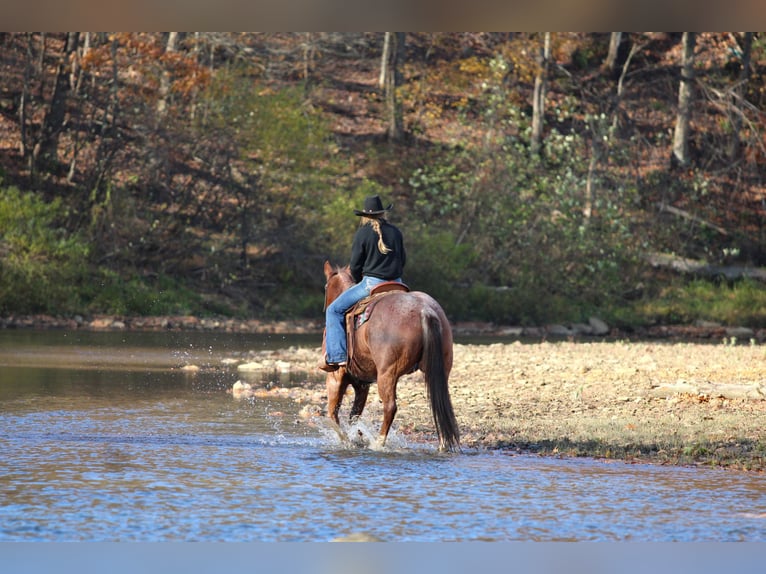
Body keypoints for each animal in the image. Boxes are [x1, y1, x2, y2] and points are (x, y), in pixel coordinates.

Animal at [321, 260, 460, 452]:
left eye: (325, 287)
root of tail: (425, 310)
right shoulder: (362, 384)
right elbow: (354, 415)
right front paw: (357, 437)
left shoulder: (335, 376)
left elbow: (333, 414)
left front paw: (348, 441)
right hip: (440, 370)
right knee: (439, 403)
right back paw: (443, 445)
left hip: (387, 374)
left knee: (390, 407)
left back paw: (379, 443)